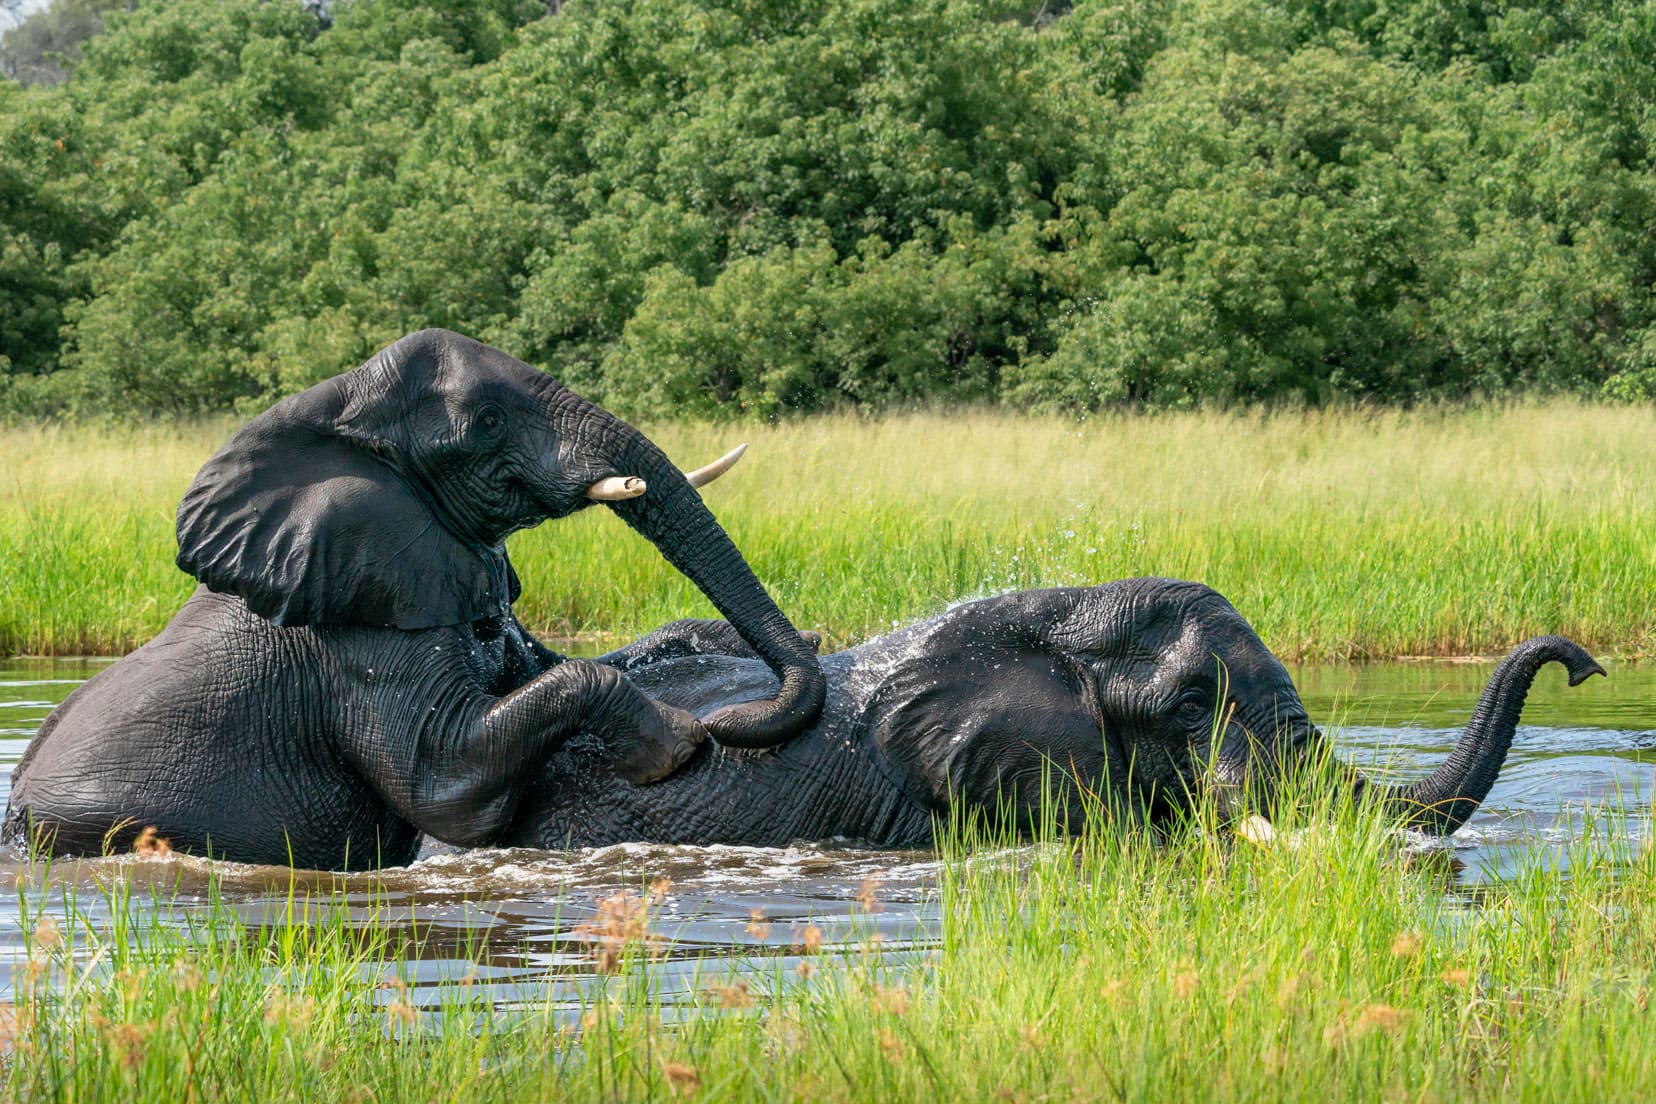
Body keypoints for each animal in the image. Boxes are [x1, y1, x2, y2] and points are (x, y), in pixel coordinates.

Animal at [3, 327, 824, 873]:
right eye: (487, 421)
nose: (733, 724)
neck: (341, 411)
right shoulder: (356, 637)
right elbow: (448, 784)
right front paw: (677, 742)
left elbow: (560, 665)